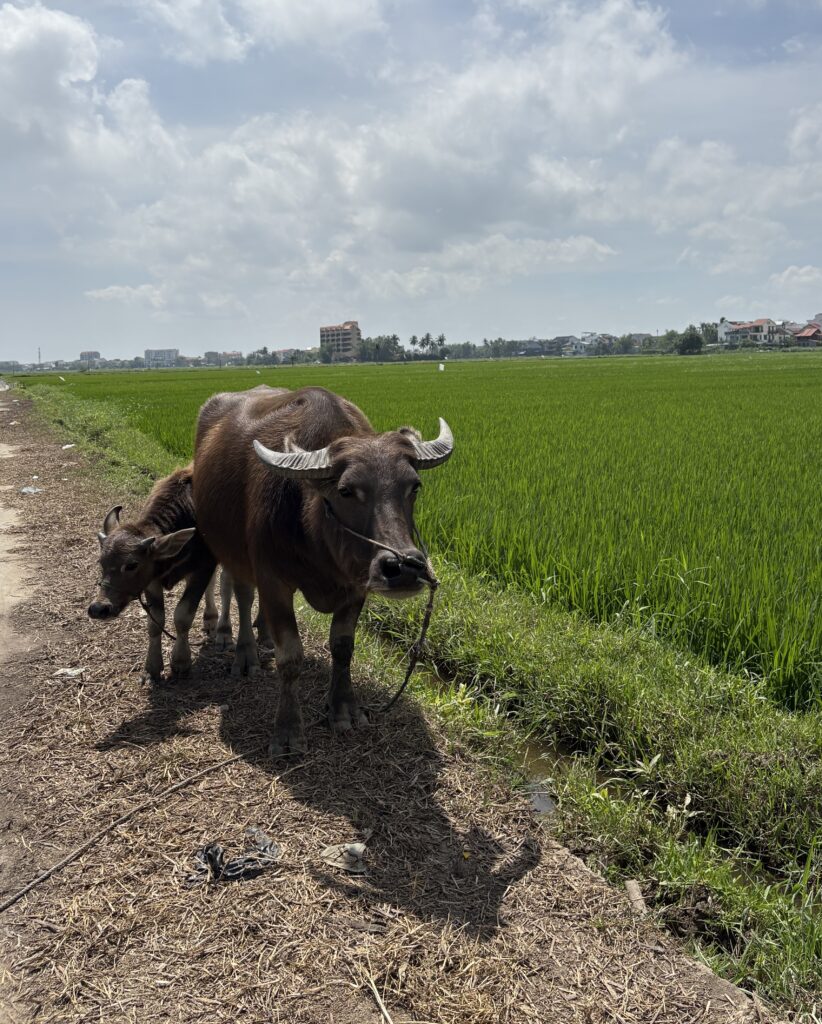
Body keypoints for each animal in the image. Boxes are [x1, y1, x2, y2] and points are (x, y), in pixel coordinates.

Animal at [88, 465, 219, 681]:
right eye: (101, 562)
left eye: (132, 565)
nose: (99, 608)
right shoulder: (152, 581)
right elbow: (155, 621)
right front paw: (153, 666)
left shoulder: (203, 568)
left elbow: (183, 616)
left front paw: (181, 661)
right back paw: (210, 620)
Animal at [193, 385, 453, 756]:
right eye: (346, 490)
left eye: (414, 486)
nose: (403, 568)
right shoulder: (272, 580)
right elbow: (291, 656)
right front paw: (288, 731)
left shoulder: (356, 586)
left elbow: (343, 647)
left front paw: (343, 709)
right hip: (233, 550)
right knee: (242, 594)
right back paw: (245, 654)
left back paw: (264, 635)